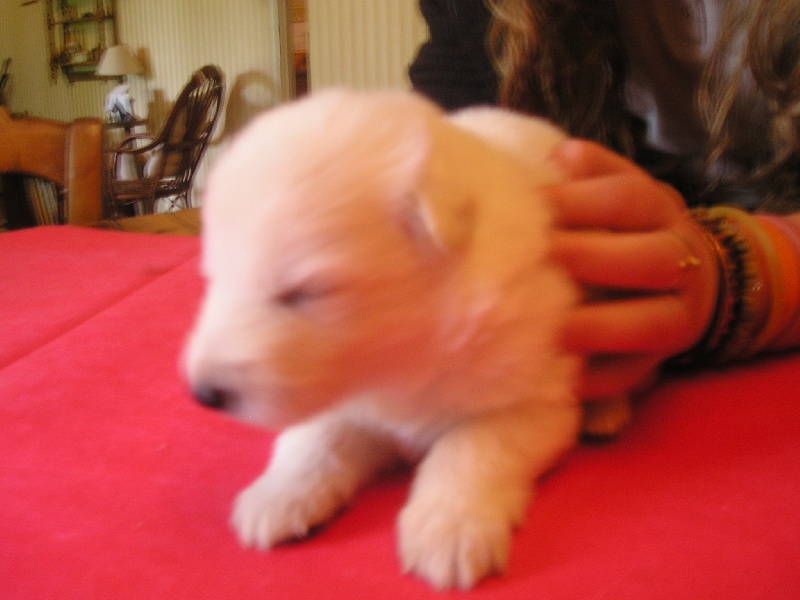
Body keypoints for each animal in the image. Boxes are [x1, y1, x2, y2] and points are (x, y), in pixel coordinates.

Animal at [185, 89, 599, 590]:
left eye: (304, 292)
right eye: (214, 278)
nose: (204, 394)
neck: (403, 355)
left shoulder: (535, 395)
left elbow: (472, 447)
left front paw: (450, 529)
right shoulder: (345, 400)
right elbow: (313, 439)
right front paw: (276, 496)